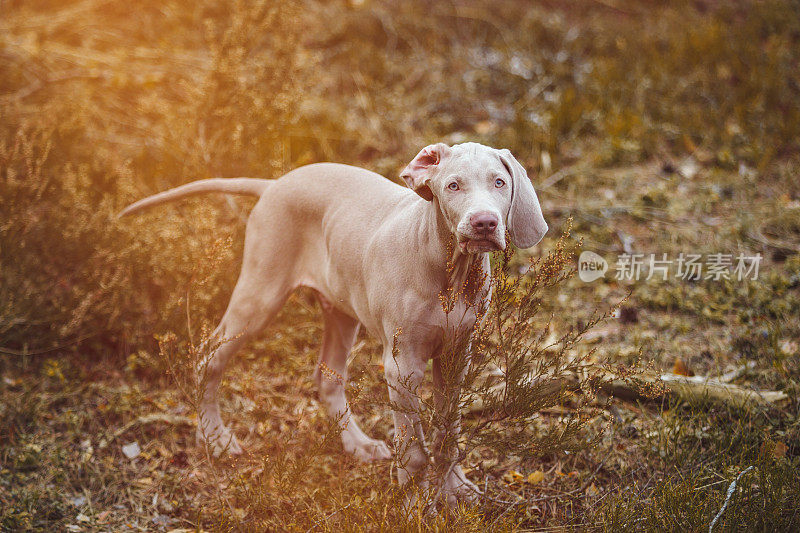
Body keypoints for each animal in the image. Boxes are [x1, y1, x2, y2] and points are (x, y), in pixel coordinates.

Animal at [120, 140, 552, 502]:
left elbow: (449, 430)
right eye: (453, 186)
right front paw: (413, 501)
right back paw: (214, 437)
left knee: (327, 378)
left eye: (499, 183)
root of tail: (275, 184)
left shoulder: (456, 356)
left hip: (341, 312)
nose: (484, 223)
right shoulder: (403, 366)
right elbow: (413, 449)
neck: (450, 270)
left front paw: (454, 487)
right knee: (209, 357)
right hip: (260, 293)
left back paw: (357, 444)